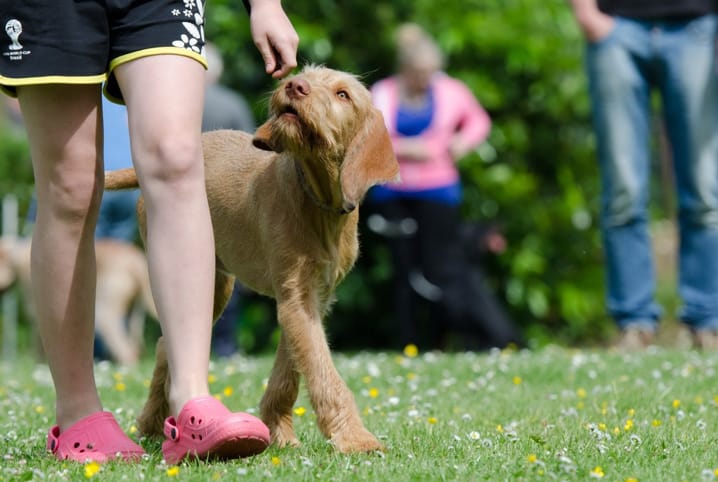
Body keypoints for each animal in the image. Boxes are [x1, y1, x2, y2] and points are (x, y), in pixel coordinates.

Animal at [105, 65, 402, 452]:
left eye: (343, 95)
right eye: (305, 75)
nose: (294, 85)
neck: (318, 201)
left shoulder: (310, 299)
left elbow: (290, 371)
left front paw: (279, 432)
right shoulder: (296, 298)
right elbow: (323, 370)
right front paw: (355, 437)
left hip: (215, 286)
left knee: (163, 347)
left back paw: (153, 424)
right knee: (164, 345)